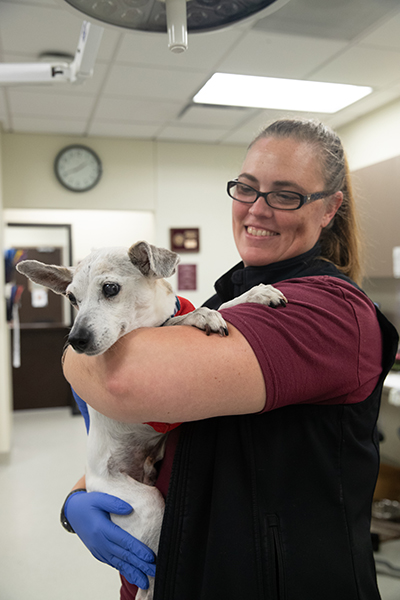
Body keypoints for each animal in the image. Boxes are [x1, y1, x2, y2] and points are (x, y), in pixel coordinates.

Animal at [17, 240, 288, 600]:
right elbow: (182, 320)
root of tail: (94, 484)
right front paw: (200, 315)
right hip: (148, 506)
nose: (75, 341)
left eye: (110, 289)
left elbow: (224, 303)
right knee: (148, 580)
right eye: (72, 298)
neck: (151, 317)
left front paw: (255, 294)